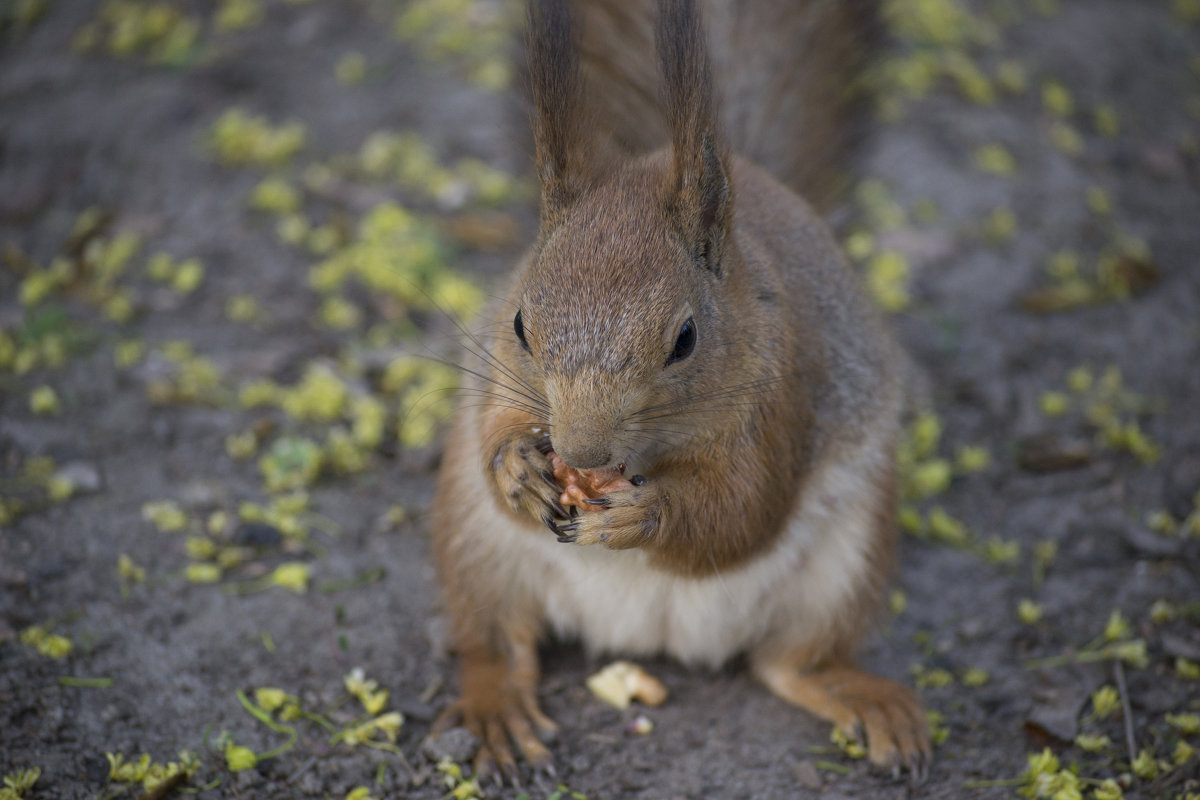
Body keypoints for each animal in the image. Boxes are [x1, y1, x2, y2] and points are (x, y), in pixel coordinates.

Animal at [429, 0, 926, 782]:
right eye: (519, 323)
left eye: (685, 339)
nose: (579, 451)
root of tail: (643, 636)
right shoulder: (504, 378)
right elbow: (498, 424)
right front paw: (516, 468)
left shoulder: (779, 399)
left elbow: (743, 510)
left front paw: (646, 514)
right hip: (473, 541)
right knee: (495, 643)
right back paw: (496, 710)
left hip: (847, 562)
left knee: (791, 663)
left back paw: (864, 699)